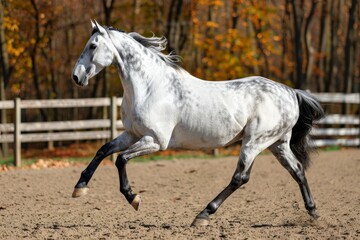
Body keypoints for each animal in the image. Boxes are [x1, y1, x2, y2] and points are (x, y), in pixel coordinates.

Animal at [71, 20, 324, 227]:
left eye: (93, 46)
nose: (76, 77)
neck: (150, 86)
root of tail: (290, 92)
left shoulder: (156, 141)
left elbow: (121, 159)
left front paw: (133, 198)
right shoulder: (132, 134)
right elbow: (103, 150)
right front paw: (80, 187)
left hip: (254, 142)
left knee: (240, 178)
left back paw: (203, 215)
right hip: (277, 144)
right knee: (297, 170)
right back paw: (313, 213)